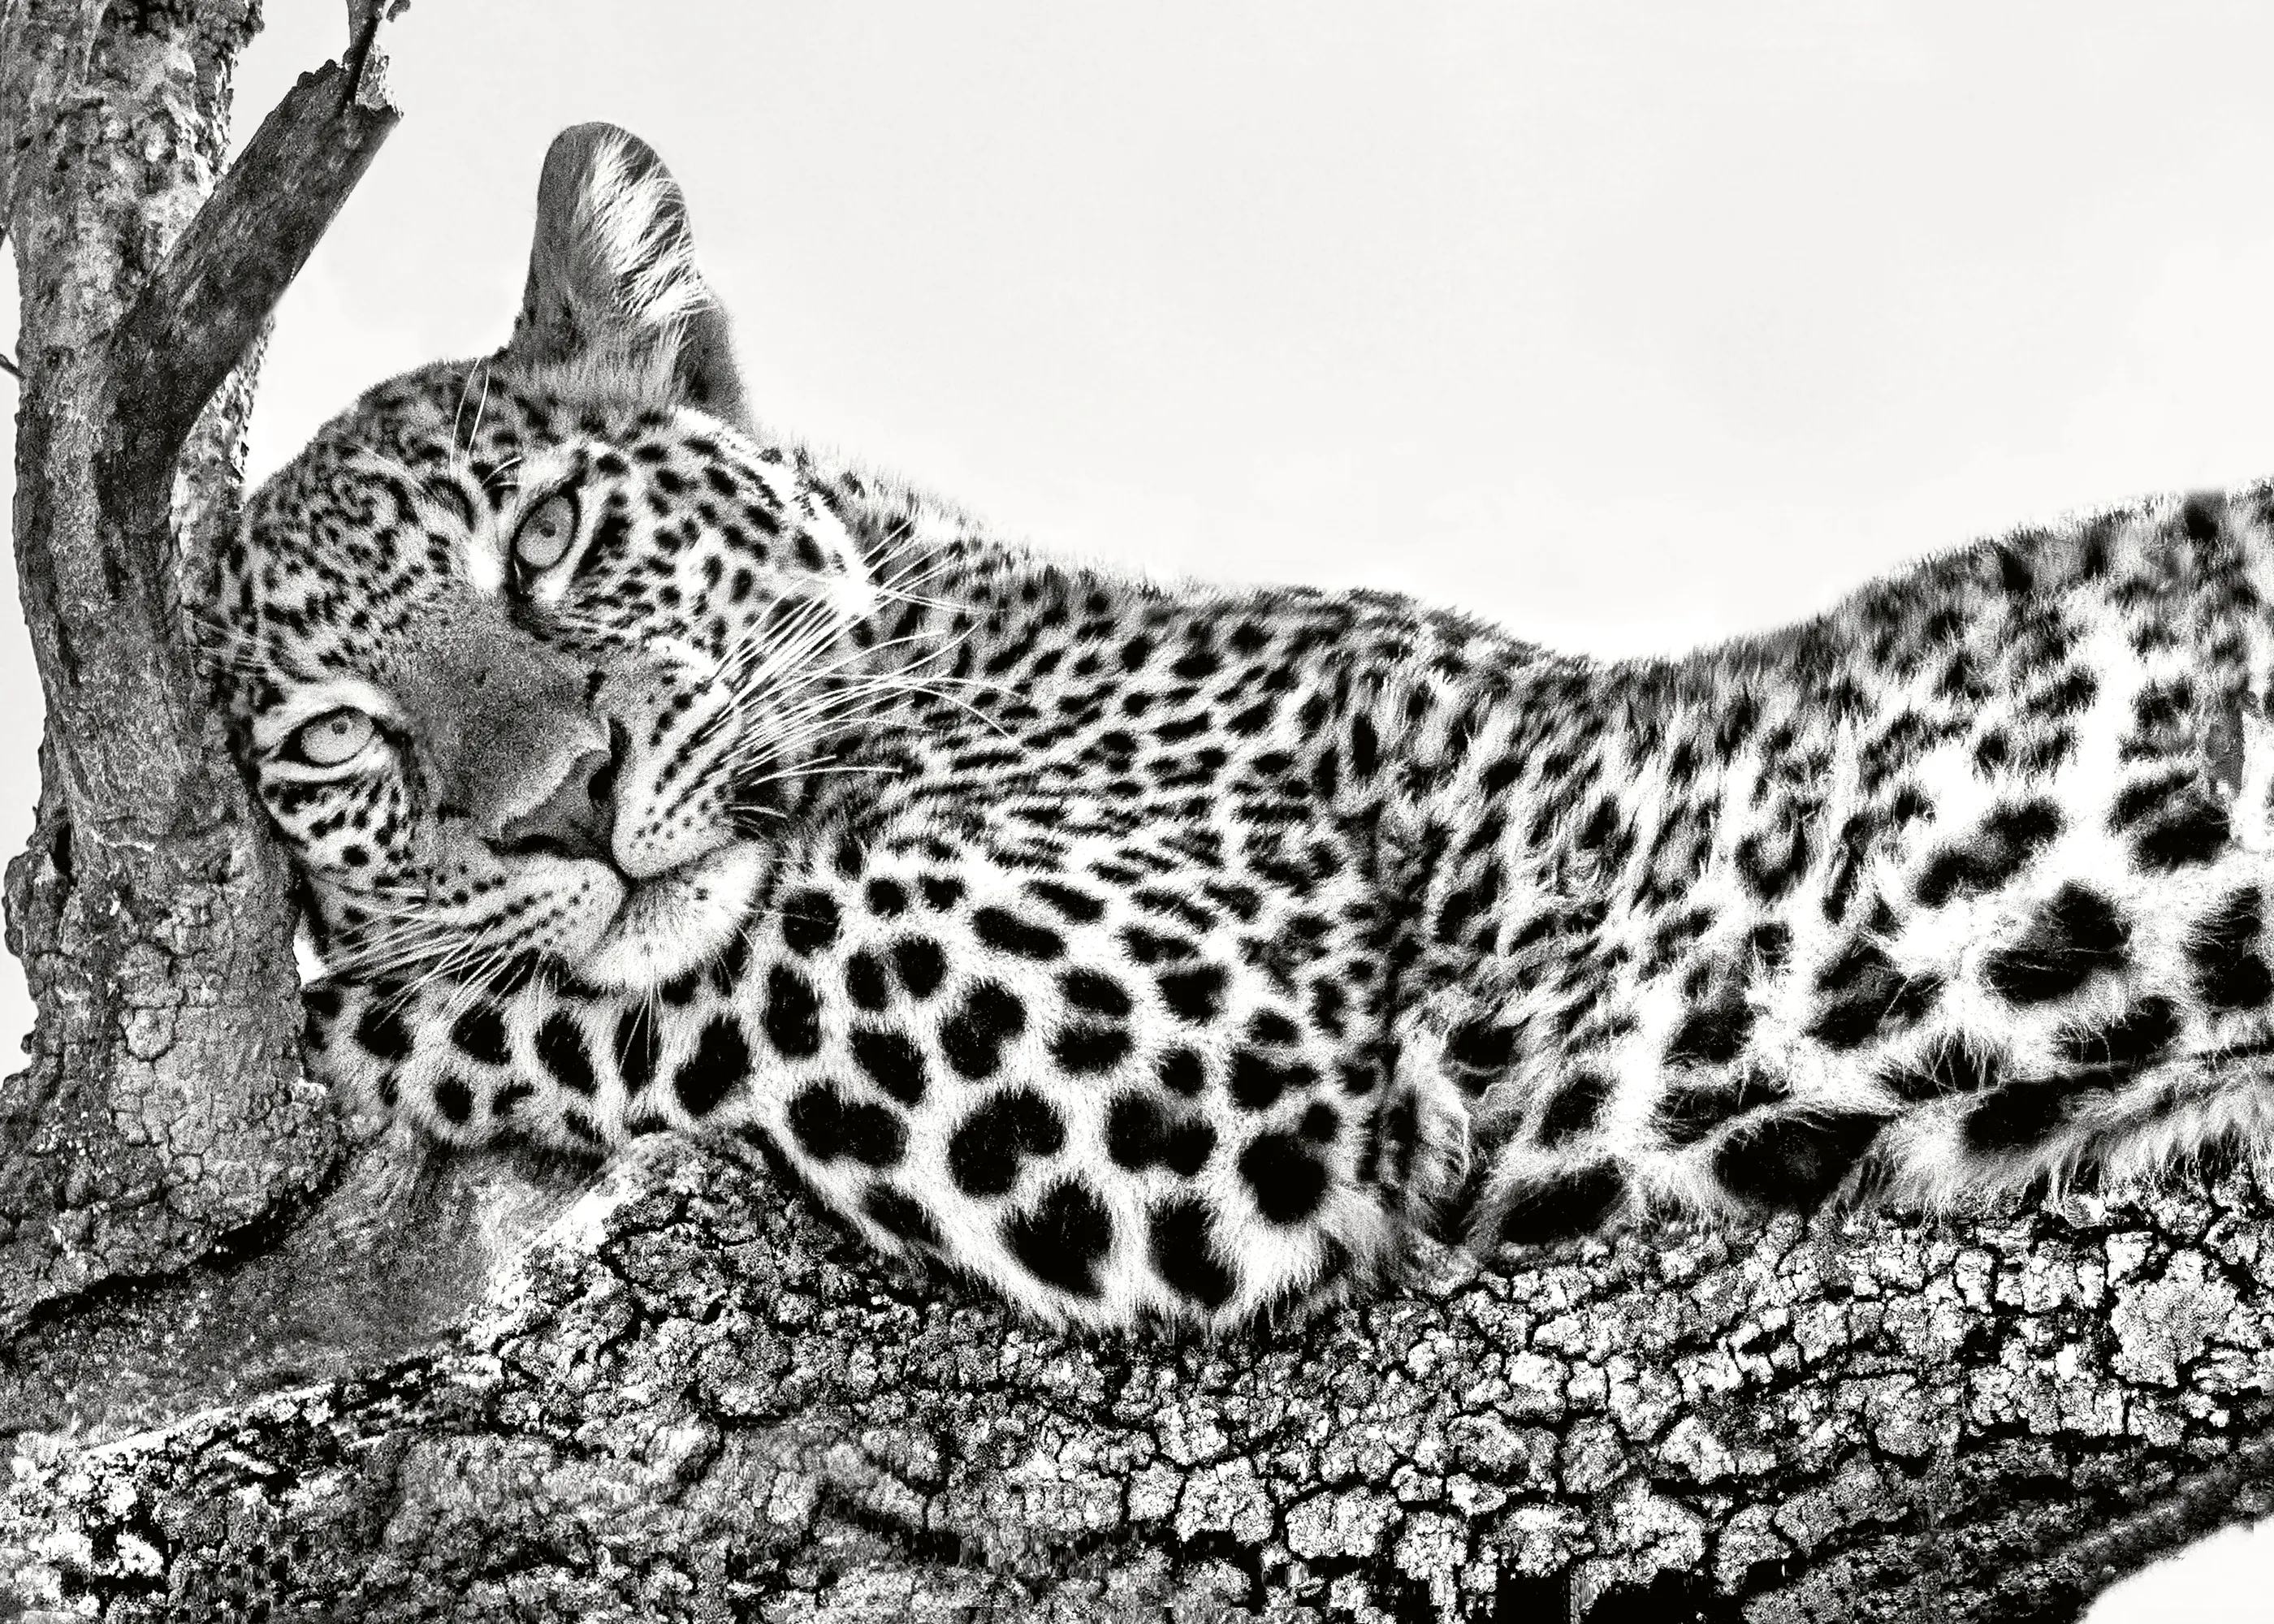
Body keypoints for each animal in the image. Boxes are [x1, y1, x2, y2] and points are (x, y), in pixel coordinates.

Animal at [190, 121, 2274, 1333]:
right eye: (332, 744)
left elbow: (689, 970)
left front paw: (348, 1013)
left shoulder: (1202, 1028)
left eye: (545, 533)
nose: (564, 804)